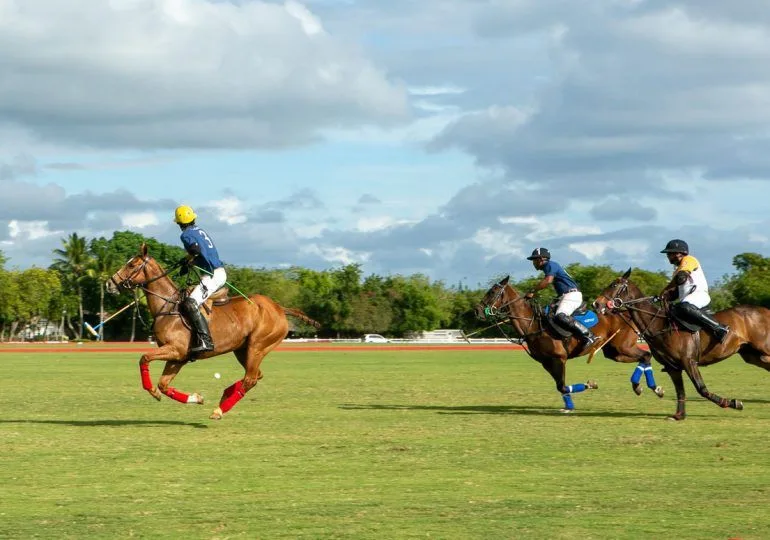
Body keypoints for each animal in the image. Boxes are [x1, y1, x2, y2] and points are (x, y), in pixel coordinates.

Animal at [106, 243, 318, 420]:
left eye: (132, 265)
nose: (109, 283)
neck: (168, 306)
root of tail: (280, 308)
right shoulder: (179, 358)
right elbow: (163, 385)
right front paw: (195, 398)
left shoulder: (175, 349)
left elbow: (144, 358)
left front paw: (152, 390)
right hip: (242, 350)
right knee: (256, 376)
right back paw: (225, 394)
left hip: (258, 346)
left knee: (250, 379)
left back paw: (219, 410)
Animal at [474, 276, 660, 412]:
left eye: (492, 291)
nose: (477, 310)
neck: (533, 325)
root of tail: (626, 312)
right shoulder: (546, 362)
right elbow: (560, 386)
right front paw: (574, 401)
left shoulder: (559, 358)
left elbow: (562, 386)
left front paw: (589, 385)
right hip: (614, 352)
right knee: (644, 357)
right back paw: (643, 387)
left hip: (623, 346)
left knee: (646, 354)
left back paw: (649, 387)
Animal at [592, 270, 770, 422]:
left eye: (614, 285)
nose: (596, 303)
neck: (659, 325)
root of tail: (766, 310)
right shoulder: (673, 367)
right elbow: (680, 391)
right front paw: (678, 415)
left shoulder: (689, 361)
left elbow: (701, 388)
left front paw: (732, 403)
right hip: (752, 355)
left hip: (763, 349)